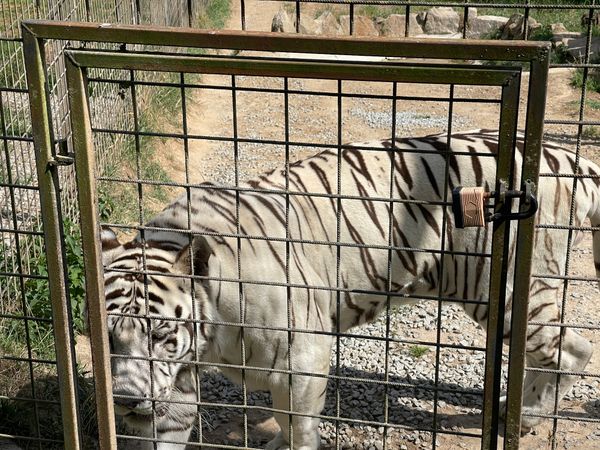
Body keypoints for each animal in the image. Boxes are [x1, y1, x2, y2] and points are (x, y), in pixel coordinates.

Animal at [101, 128, 596, 448]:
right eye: (109, 339)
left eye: (161, 336)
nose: (124, 400)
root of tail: (571, 158)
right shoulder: (178, 380)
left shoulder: (302, 358)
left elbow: (297, 425)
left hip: (505, 289)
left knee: (574, 350)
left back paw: (524, 420)